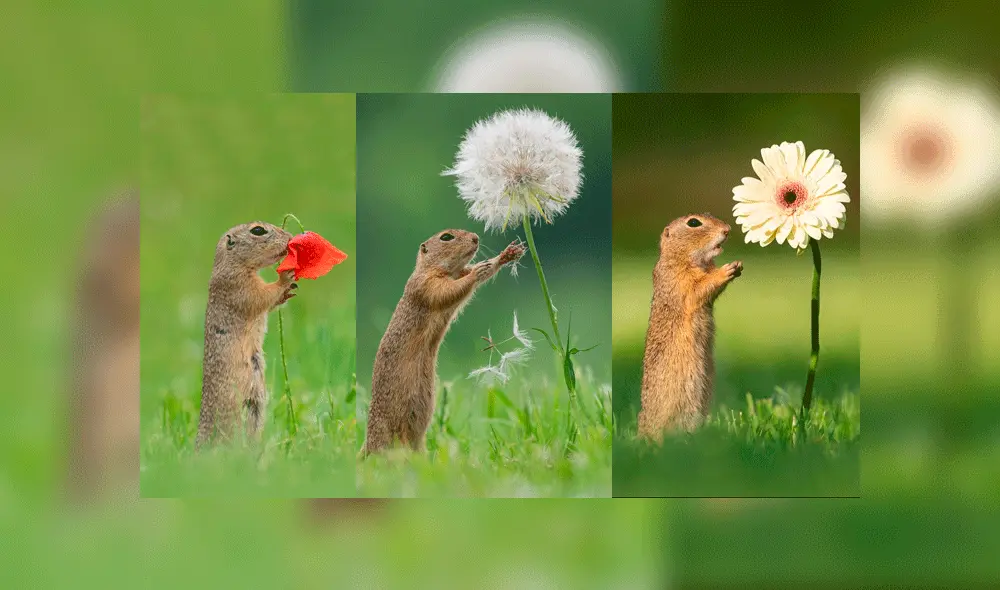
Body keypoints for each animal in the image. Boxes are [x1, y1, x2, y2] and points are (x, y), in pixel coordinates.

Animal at [196, 221, 298, 445]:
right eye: (258, 230)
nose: (290, 236)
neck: (232, 264)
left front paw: (289, 290)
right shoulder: (239, 286)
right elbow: (262, 296)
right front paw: (285, 277)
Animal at [361, 229, 525, 455]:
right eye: (446, 237)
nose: (475, 238)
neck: (444, 270)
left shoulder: (455, 274)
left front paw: (505, 256)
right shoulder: (426, 284)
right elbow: (448, 291)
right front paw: (478, 271)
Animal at [637, 213, 742, 440]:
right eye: (693, 223)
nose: (727, 229)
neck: (680, 257)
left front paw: (737, 266)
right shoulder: (681, 282)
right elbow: (698, 290)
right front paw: (727, 269)